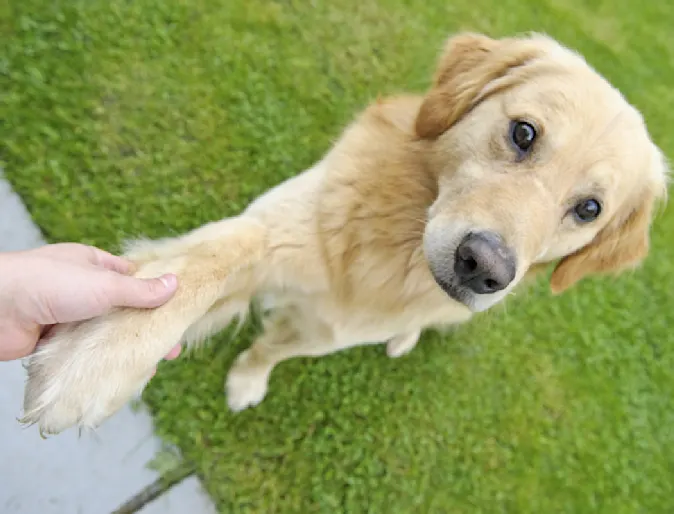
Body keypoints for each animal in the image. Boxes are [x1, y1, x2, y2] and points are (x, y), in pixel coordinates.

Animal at [21, 32, 668, 432]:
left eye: (589, 209)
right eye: (524, 133)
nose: (484, 268)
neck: (395, 248)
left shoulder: (328, 332)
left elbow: (274, 347)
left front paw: (247, 378)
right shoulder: (278, 228)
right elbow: (216, 256)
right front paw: (104, 351)